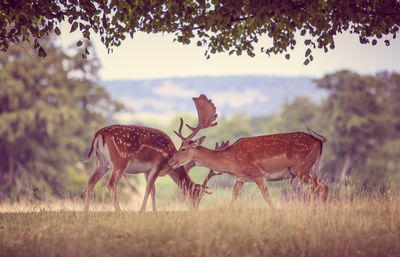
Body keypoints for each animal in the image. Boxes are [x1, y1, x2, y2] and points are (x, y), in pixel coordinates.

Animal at [83, 123, 214, 211]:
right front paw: (142, 211)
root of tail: (99, 134)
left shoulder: (147, 170)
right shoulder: (158, 165)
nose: (195, 210)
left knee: (91, 180)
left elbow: (153, 190)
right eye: (196, 196)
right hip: (120, 162)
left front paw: (155, 212)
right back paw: (119, 212)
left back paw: (86, 212)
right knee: (111, 183)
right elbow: (149, 187)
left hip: (102, 163)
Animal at [169, 94, 328, 208]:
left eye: (183, 149)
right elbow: (232, 200)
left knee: (317, 186)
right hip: (308, 168)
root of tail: (319, 141)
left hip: (300, 168)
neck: (231, 160)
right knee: (323, 186)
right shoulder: (240, 179)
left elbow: (268, 199)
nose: (171, 161)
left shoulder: (258, 174)